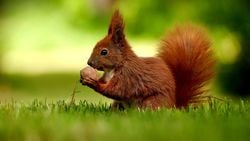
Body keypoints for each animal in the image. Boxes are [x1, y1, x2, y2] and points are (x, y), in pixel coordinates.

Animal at [79, 10, 215, 109]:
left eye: (104, 52)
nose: (89, 62)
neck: (114, 68)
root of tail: (174, 106)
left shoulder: (129, 77)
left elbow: (116, 91)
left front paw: (93, 83)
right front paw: (85, 79)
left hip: (151, 102)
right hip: (120, 104)